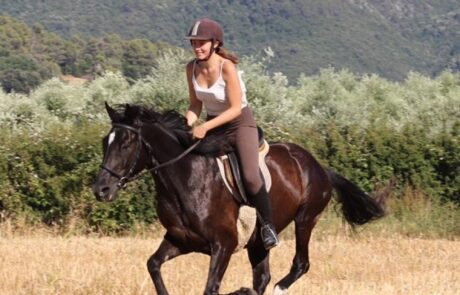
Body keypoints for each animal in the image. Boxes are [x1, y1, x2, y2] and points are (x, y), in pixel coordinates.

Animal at [91, 103, 386, 294]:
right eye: (106, 142)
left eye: (126, 144)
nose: (101, 189)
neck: (184, 179)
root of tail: (318, 165)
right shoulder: (179, 240)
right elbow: (153, 265)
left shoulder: (224, 244)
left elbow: (210, 288)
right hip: (257, 242)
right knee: (262, 277)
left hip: (306, 219)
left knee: (299, 264)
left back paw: (278, 288)